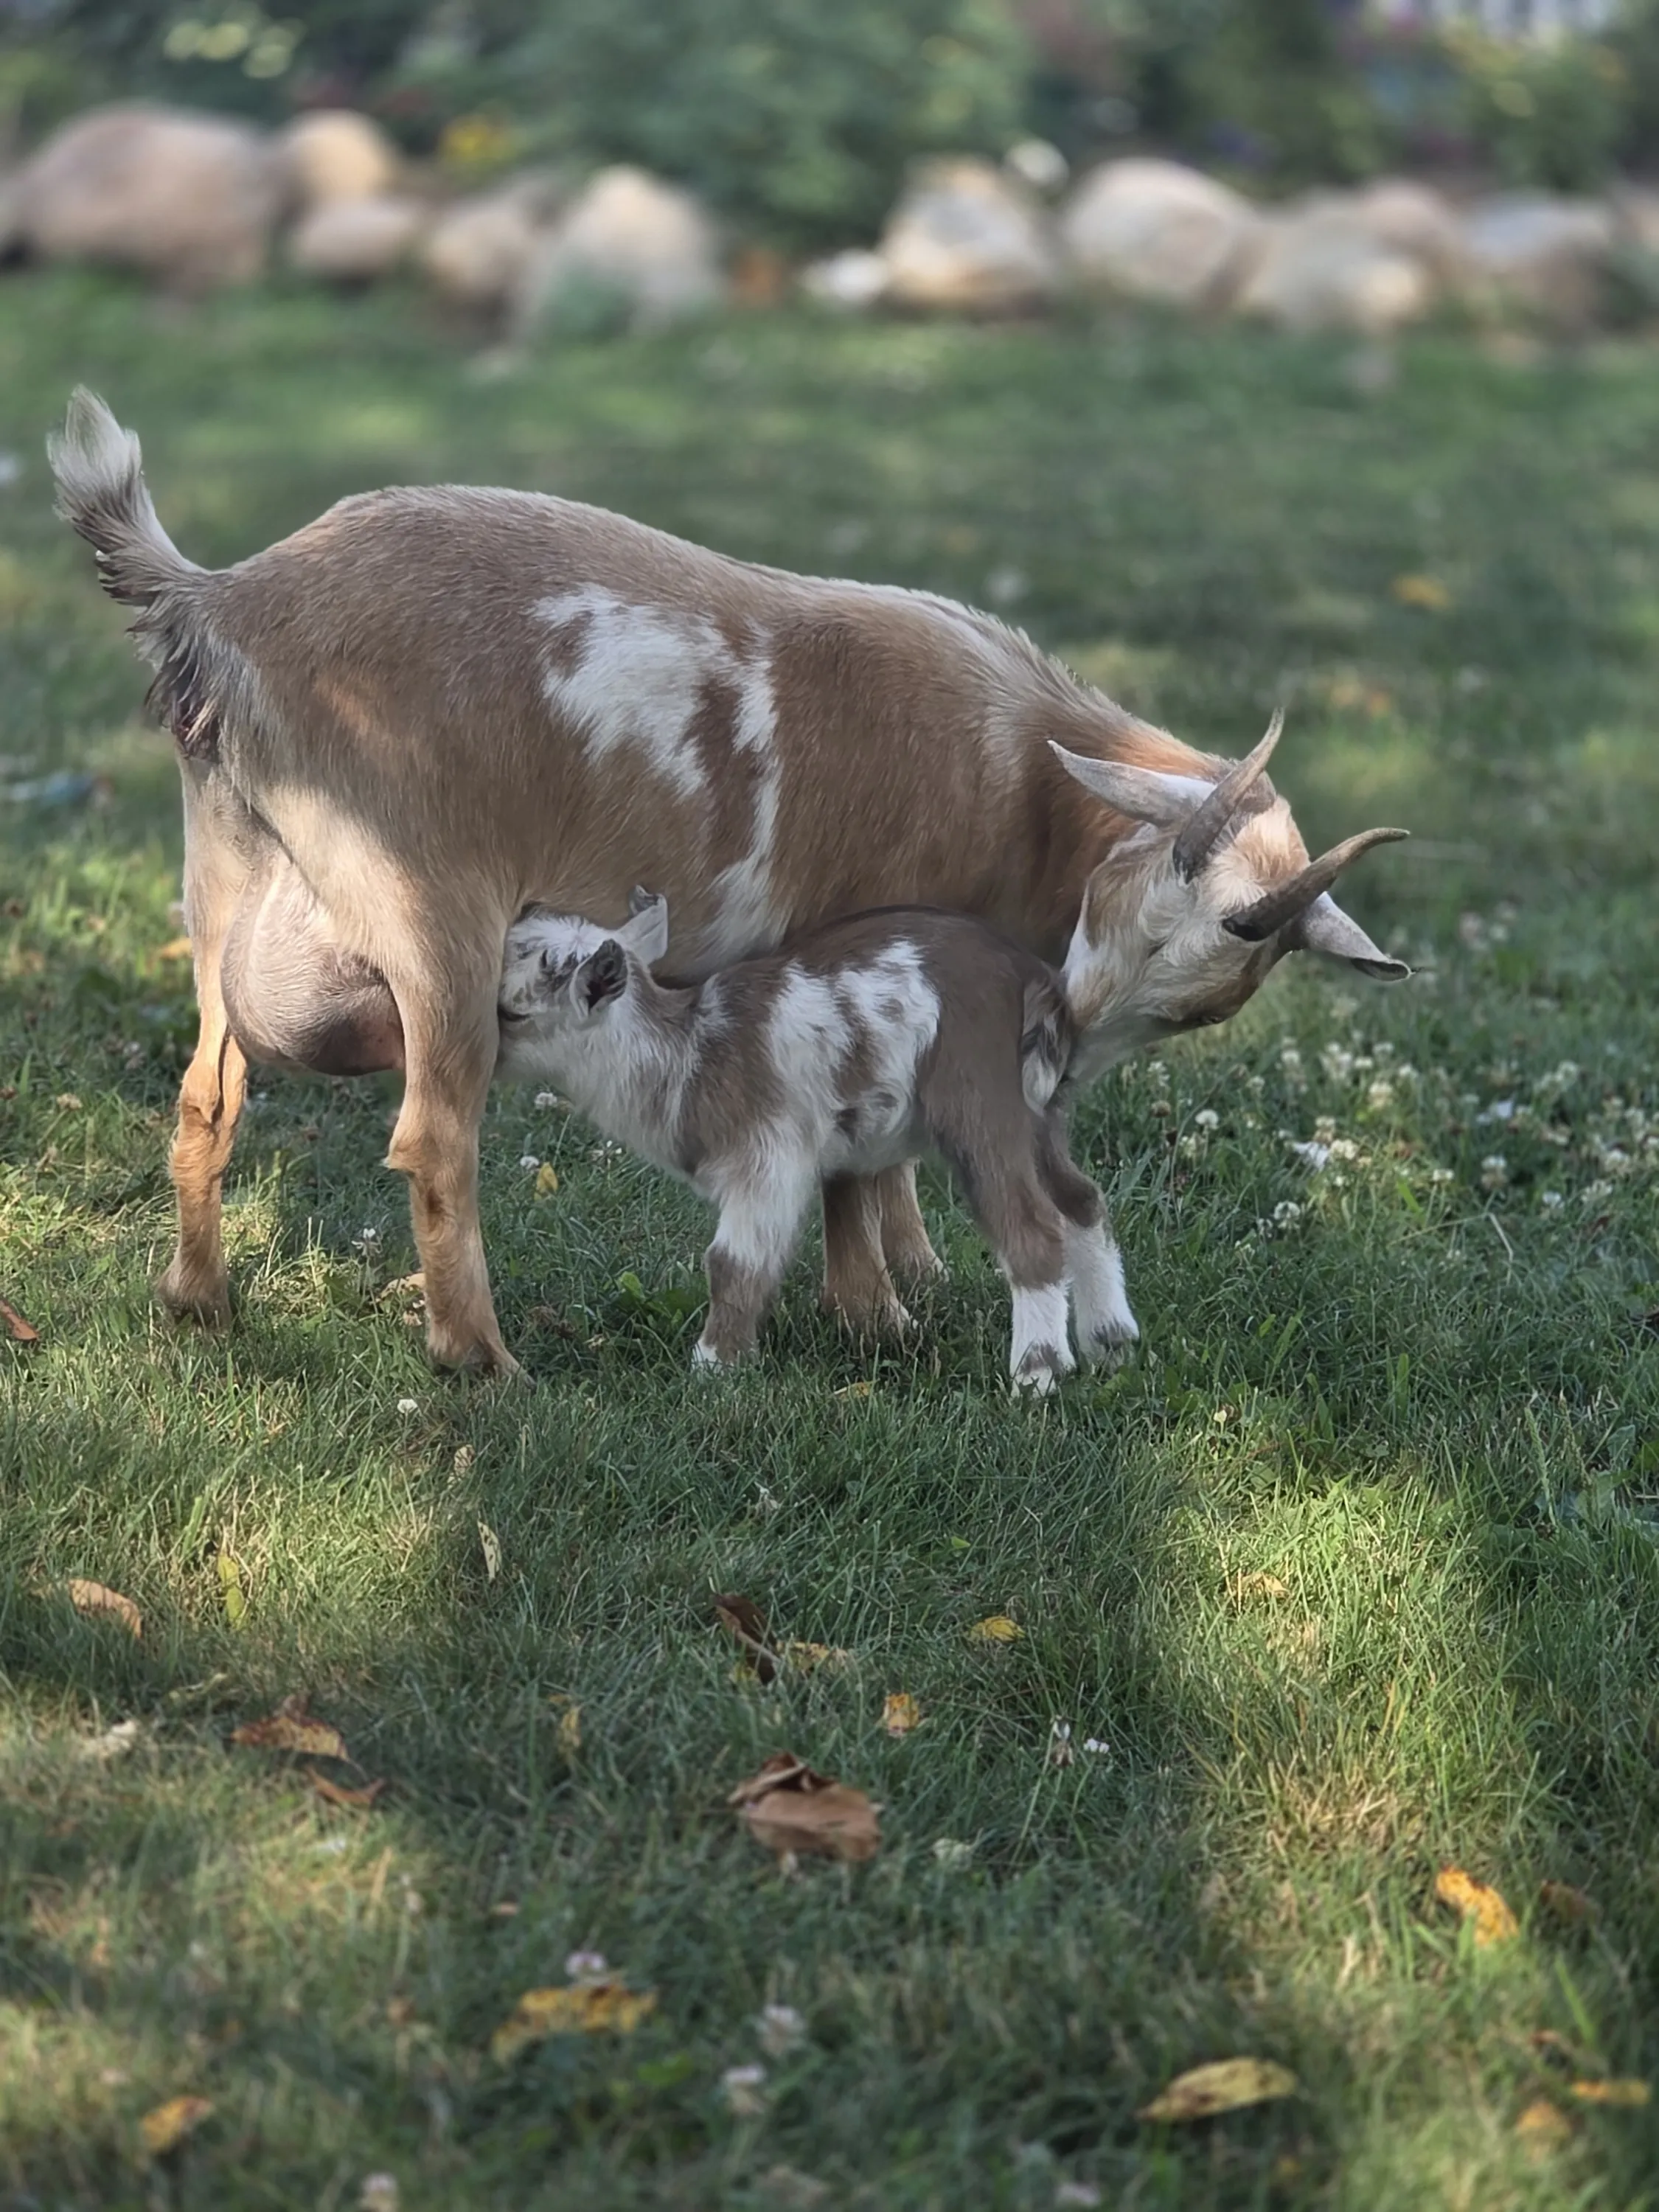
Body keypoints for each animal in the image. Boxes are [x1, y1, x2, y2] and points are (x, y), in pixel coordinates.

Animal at [495, 889, 1137, 1389]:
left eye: (511, 1013)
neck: (689, 1058)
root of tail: (1032, 980)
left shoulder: (767, 1157)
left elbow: (732, 1263)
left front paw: (712, 1367)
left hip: (981, 1100)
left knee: (1031, 1225)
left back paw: (1038, 1371)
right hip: (1040, 1112)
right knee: (1080, 1200)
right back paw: (1109, 1341)